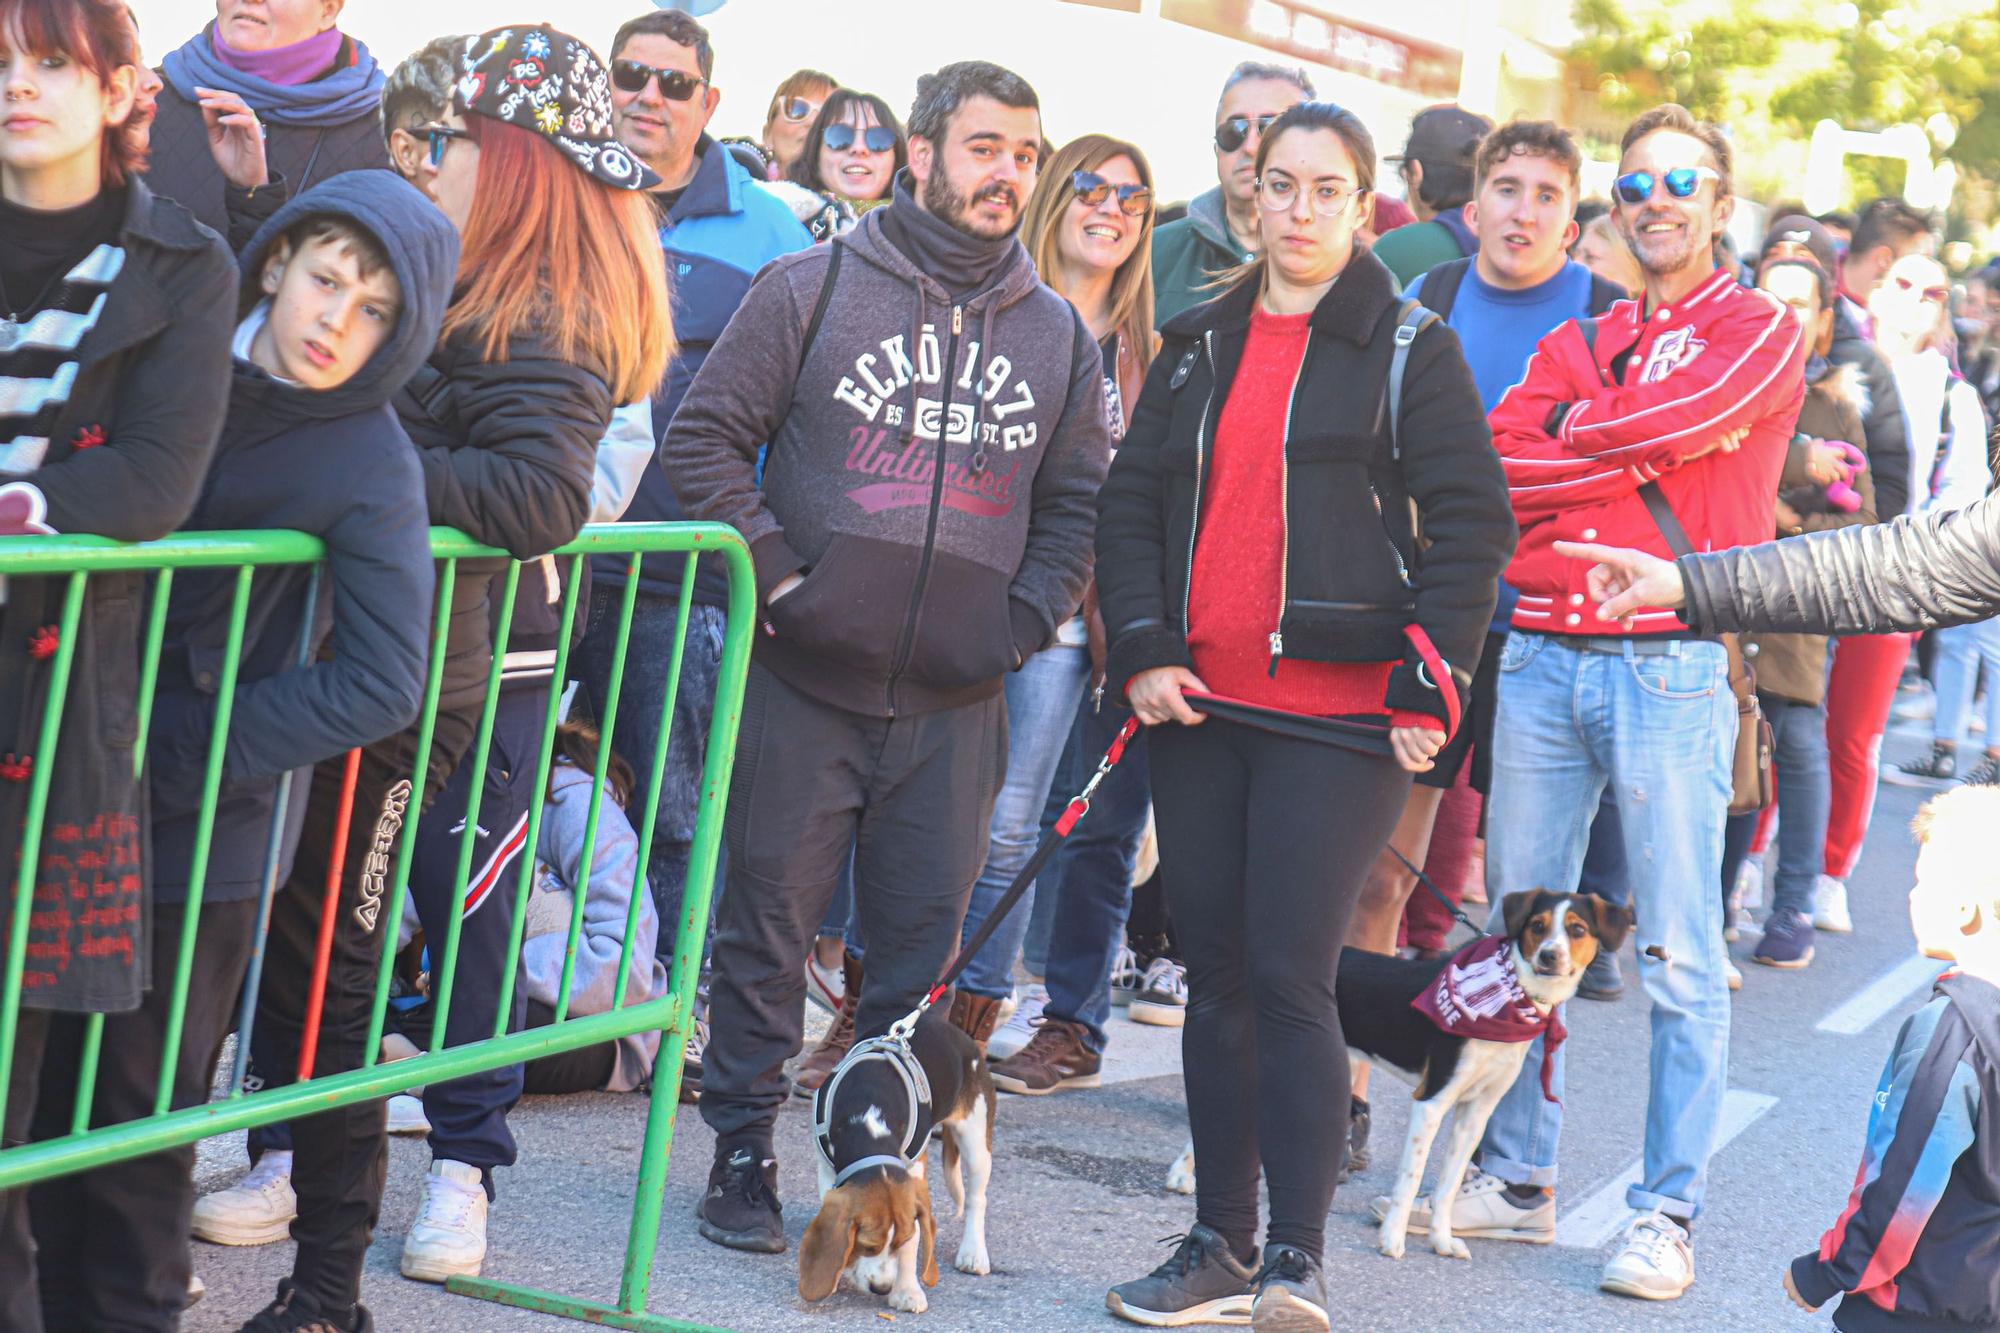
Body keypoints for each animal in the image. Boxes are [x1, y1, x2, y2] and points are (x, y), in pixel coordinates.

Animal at [800, 1008, 996, 1304]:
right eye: (867, 1246)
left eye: (900, 1241)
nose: (881, 1288)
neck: (870, 1120)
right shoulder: (826, 1169)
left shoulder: (914, 1175)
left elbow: (913, 1243)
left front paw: (907, 1291)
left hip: (976, 1140)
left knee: (977, 1199)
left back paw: (973, 1252)